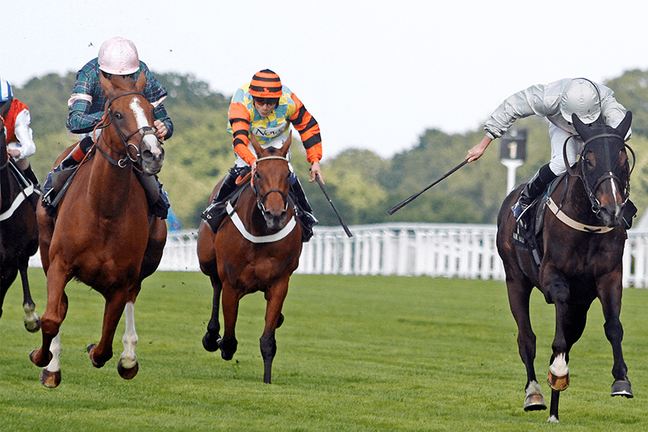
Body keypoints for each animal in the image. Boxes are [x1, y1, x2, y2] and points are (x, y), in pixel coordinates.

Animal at [31, 73, 167, 388]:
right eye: (117, 114)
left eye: (152, 112)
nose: (152, 154)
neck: (104, 211)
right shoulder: (59, 263)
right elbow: (52, 318)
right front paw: (44, 360)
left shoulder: (120, 281)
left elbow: (105, 344)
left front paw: (102, 352)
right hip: (45, 246)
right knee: (60, 306)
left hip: (150, 256)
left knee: (133, 297)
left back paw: (129, 358)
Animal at [196, 136, 302, 384]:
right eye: (259, 174)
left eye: (287, 175)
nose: (275, 215)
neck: (261, 229)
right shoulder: (232, 284)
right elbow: (229, 340)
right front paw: (217, 341)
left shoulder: (279, 283)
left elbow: (268, 340)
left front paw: (267, 380)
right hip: (206, 260)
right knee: (215, 284)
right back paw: (211, 334)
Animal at [498, 110, 636, 422]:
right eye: (589, 160)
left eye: (623, 159)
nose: (612, 210)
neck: (587, 221)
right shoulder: (553, 275)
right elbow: (556, 329)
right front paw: (557, 370)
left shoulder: (609, 276)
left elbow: (614, 326)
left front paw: (621, 380)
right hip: (515, 280)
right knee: (527, 339)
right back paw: (535, 395)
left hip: (581, 305)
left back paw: (554, 409)